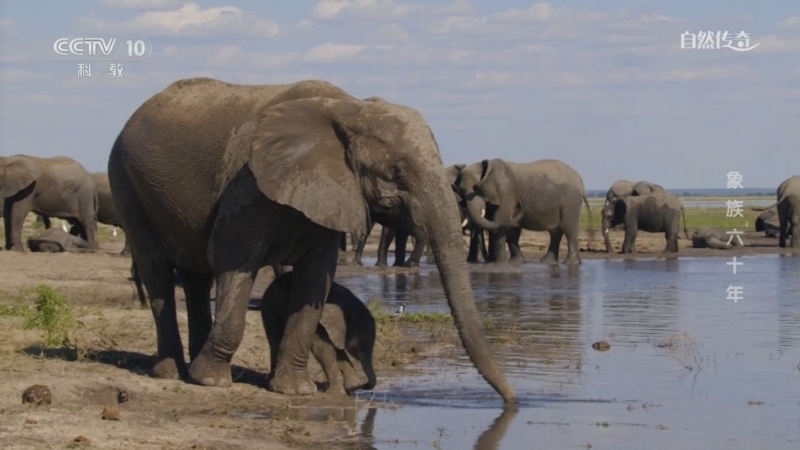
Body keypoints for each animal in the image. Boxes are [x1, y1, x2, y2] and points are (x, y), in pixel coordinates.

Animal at [108, 77, 516, 405]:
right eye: (397, 171)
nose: (513, 401)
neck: (350, 109)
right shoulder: (248, 183)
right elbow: (234, 259)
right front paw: (211, 383)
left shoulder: (332, 189)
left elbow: (316, 277)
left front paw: (294, 390)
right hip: (126, 182)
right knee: (157, 271)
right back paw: (172, 372)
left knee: (195, 277)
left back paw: (191, 366)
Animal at [455, 159, 589, 266]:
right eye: (460, 191)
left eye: (477, 188)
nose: (520, 205)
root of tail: (581, 182)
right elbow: (503, 225)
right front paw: (515, 262)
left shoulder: (505, 192)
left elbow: (501, 221)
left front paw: (499, 264)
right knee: (555, 232)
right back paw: (547, 262)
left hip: (570, 200)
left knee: (569, 229)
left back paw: (571, 263)